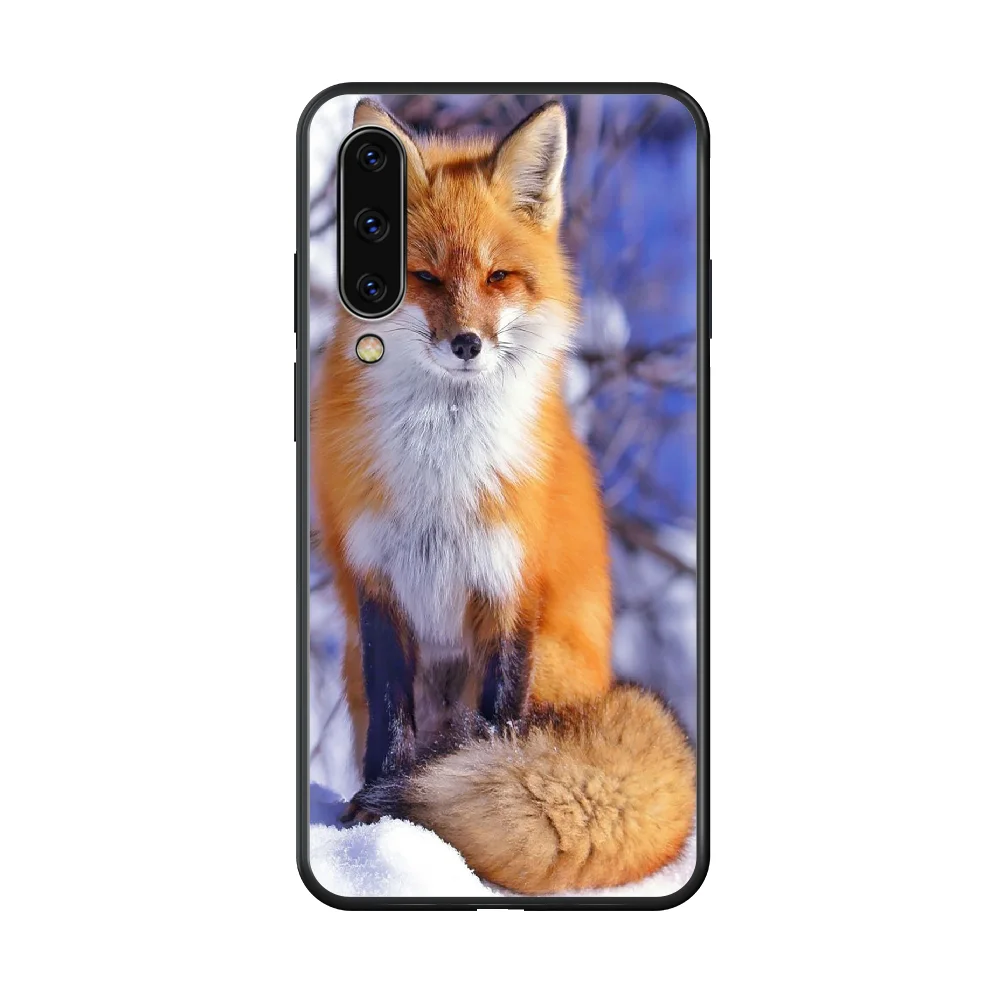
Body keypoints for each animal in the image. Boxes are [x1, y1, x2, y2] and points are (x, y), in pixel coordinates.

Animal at [311, 98, 695, 894]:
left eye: (499, 277)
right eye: (424, 277)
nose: (466, 344)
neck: (442, 473)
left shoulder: (512, 582)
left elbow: (494, 727)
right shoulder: (377, 583)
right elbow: (391, 726)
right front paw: (377, 826)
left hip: (552, 663)